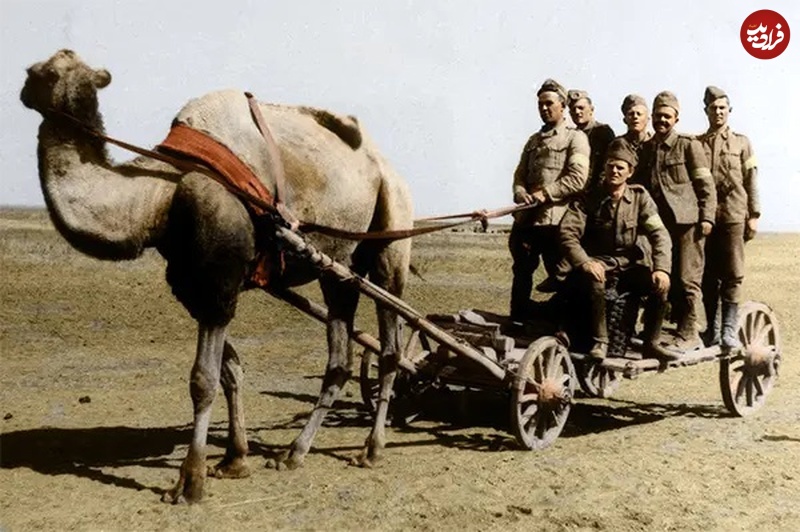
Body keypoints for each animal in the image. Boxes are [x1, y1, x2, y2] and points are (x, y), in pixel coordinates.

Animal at [20, 48, 412, 502]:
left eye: (42, 71)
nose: (22, 89)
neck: (160, 194)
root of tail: (387, 167)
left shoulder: (218, 282)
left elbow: (202, 379)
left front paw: (190, 481)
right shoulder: (193, 284)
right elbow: (230, 371)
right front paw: (233, 461)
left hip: (392, 225)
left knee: (390, 345)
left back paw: (371, 448)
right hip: (337, 266)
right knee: (340, 356)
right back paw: (293, 453)